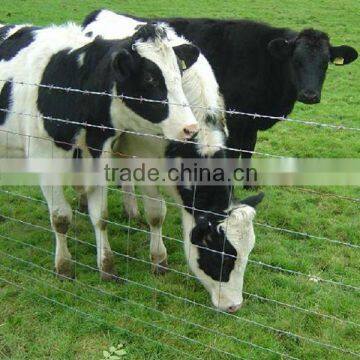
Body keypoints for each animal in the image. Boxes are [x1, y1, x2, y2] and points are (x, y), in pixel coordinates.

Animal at [0, 21, 201, 278]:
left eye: (179, 73)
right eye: (149, 79)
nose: (190, 128)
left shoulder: (99, 156)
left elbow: (101, 217)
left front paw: (106, 265)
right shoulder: (45, 160)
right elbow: (60, 218)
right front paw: (64, 266)